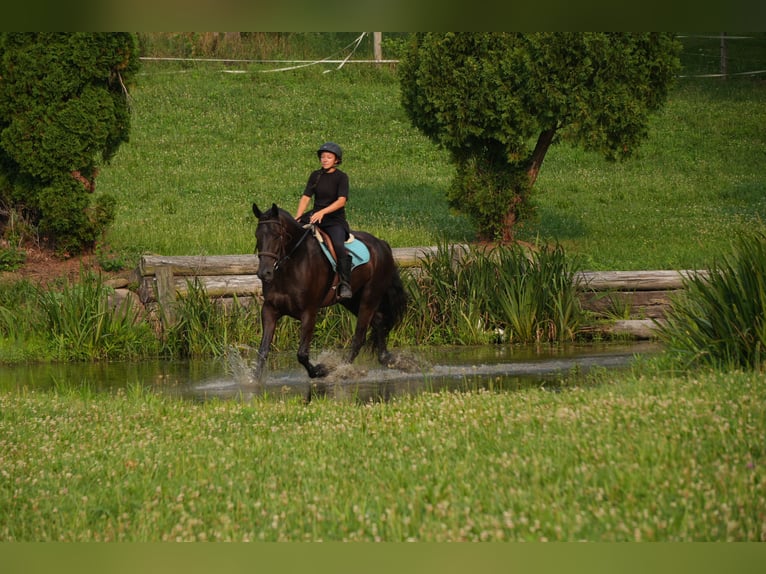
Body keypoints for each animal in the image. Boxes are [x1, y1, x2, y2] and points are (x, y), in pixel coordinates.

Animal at [252, 203, 408, 381]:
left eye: (277, 235)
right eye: (257, 235)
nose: (264, 273)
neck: (292, 265)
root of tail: (382, 244)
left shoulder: (309, 312)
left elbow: (302, 354)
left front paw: (321, 370)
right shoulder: (270, 309)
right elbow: (262, 351)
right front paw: (253, 380)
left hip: (370, 296)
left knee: (359, 337)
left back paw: (340, 370)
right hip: (352, 299)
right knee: (379, 321)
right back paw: (389, 360)